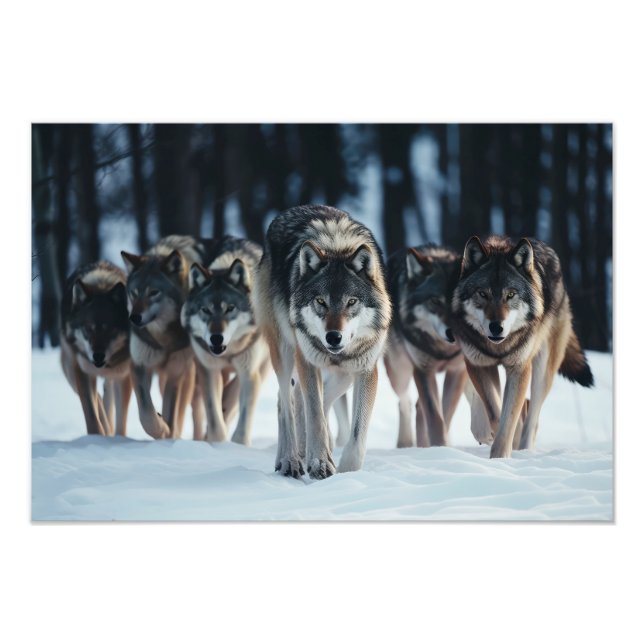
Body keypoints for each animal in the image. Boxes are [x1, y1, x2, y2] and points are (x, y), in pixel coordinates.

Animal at [60, 261, 132, 436]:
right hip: (70, 372)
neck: (101, 286)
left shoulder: (124, 375)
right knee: (98, 398)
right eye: (88, 329)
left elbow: (121, 421)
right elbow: (92, 417)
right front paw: (97, 438)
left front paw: (119, 439)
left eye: (110, 329)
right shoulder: (83, 373)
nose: (98, 356)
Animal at [121, 235, 211, 440]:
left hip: (188, 376)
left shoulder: (175, 372)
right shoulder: (139, 365)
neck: (163, 339)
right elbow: (146, 412)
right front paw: (161, 429)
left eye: (154, 292)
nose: (133, 318)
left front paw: (167, 432)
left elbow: (172, 411)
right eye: (134, 293)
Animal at [181, 236, 270, 445]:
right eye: (205, 310)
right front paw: (216, 444)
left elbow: (242, 424)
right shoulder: (208, 370)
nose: (216, 338)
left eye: (230, 308)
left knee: (233, 398)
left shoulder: (249, 373)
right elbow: (215, 420)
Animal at [253, 204, 392, 479]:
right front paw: (320, 462)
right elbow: (315, 415)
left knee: (302, 398)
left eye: (351, 302)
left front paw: (347, 473)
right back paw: (289, 460)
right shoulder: (307, 360)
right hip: (285, 352)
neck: (337, 246)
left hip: (343, 375)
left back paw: (302, 450)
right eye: (321, 302)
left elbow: (357, 434)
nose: (333, 337)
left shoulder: (366, 369)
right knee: (285, 402)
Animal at [451, 235, 594, 458]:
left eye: (511, 295)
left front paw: (500, 457)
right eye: (483, 294)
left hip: (542, 371)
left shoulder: (519, 368)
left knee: (532, 419)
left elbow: (508, 418)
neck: (499, 347)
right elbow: (497, 415)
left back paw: (525, 449)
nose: (496, 327)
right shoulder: (479, 365)